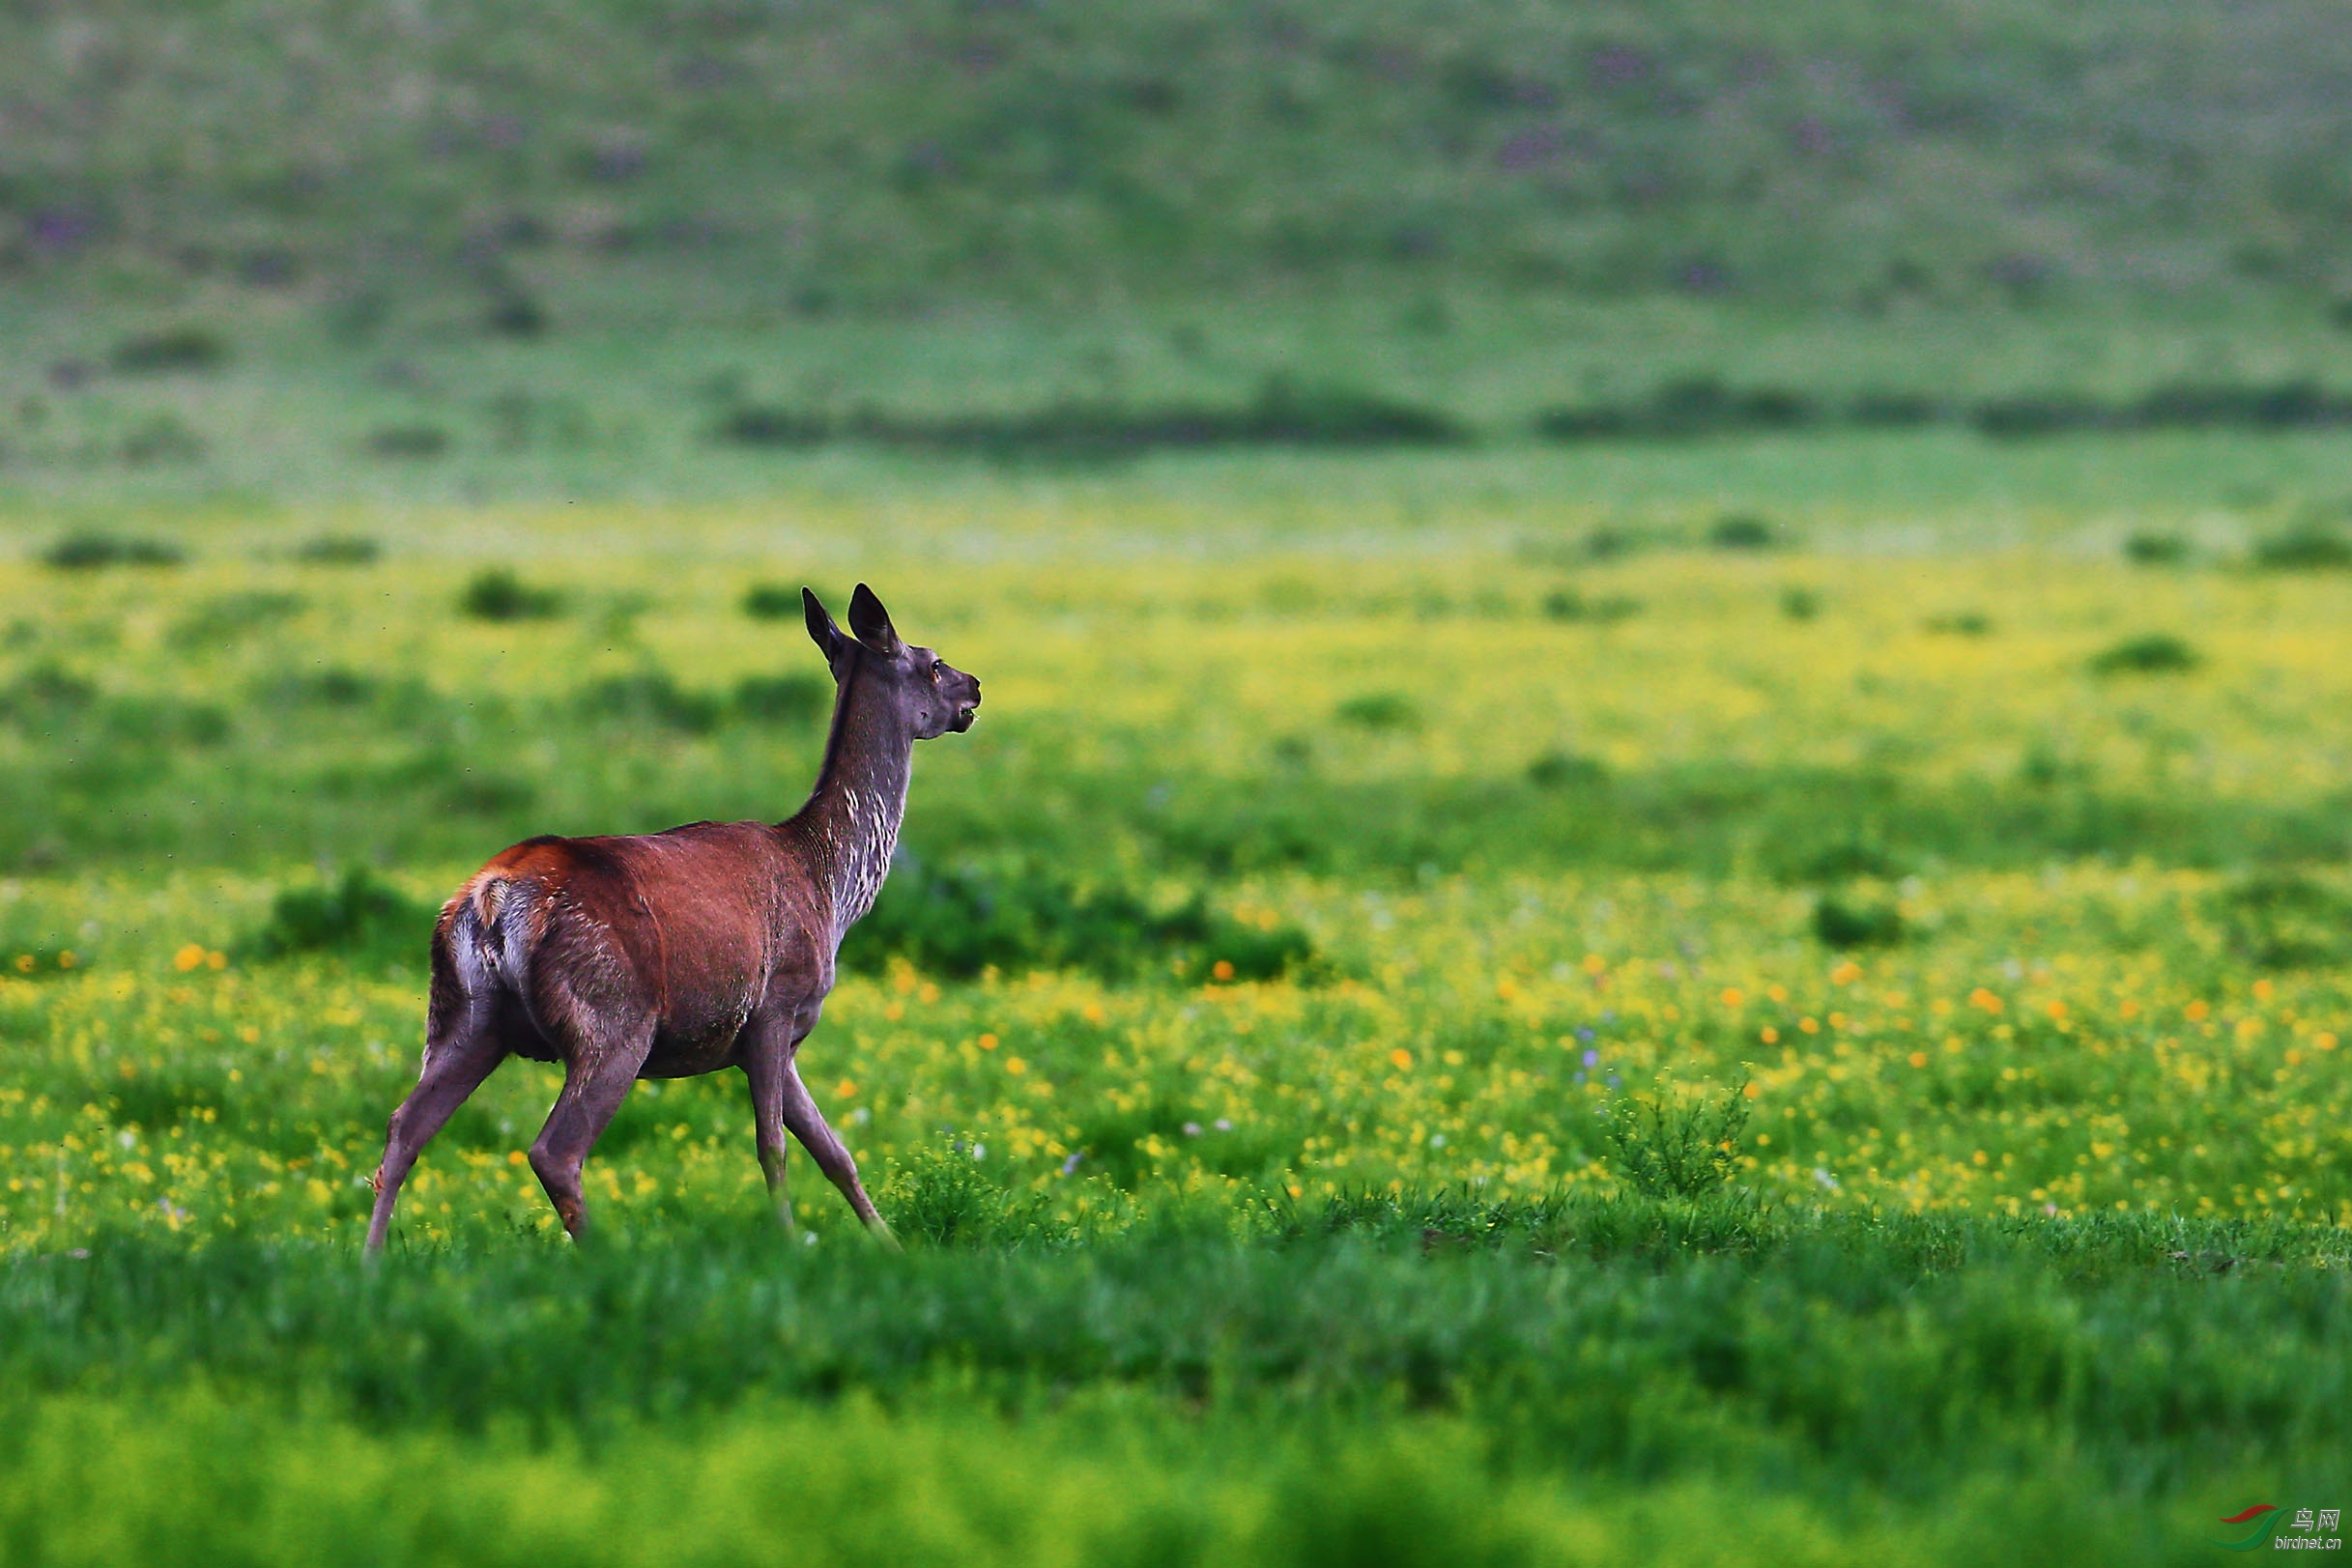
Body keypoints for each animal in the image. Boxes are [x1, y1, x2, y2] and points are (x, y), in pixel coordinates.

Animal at [364, 583, 983, 1260]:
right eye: (932, 662)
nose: (976, 687)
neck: (831, 886)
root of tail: (491, 900)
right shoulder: (775, 1006)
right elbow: (773, 1146)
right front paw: (789, 1244)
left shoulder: (772, 1039)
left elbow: (835, 1151)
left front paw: (891, 1247)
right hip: (612, 1019)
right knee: (554, 1150)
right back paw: (603, 1257)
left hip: (464, 1017)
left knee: (405, 1128)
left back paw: (370, 1263)